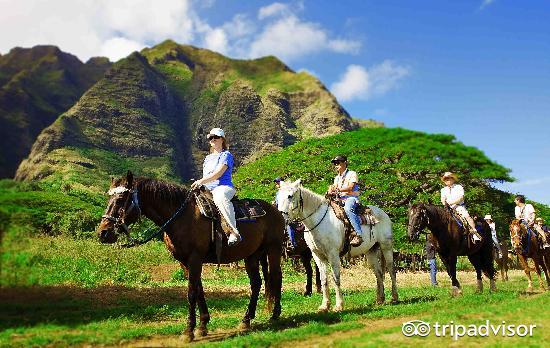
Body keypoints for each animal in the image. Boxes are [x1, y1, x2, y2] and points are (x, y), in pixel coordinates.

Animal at [97, 172, 284, 342]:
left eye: (121, 199)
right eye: (109, 198)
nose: (103, 233)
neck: (181, 217)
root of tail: (275, 210)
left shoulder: (195, 259)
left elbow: (191, 292)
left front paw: (188, 331)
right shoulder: (185, 262)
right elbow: (199, 290)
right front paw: (202, 326)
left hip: (273, 249)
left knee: (276, 277)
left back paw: (275, 314)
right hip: (252, 255)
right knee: (256, 283)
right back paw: (246, 320)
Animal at [278, 179, 398, 310]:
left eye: (290, 196)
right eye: (278, 197)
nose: (280, 217)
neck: (318, 221)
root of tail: (383, 213)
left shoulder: (333, 254)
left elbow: (336, 278)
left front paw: (339, 305)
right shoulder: (317, 256)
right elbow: (324, 279)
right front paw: (324, 305)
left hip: (386, 246)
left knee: (391, 270)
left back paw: (394, 298)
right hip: (371, 251)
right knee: (378, 273)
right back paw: (380, 300)